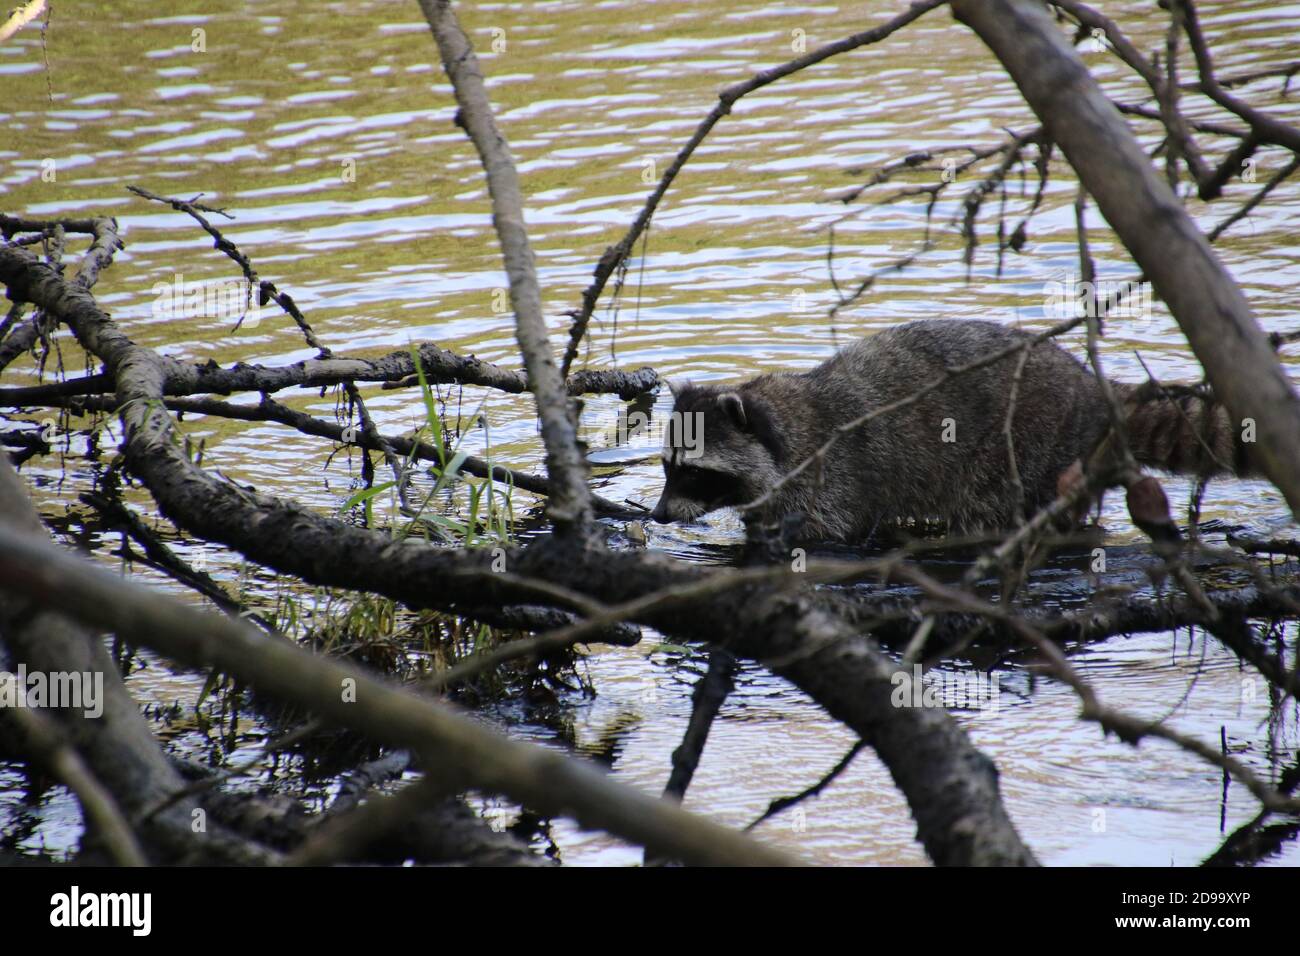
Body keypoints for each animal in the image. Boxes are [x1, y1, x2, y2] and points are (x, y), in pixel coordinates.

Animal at [649, 319, 1253, 542]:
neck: (783, 416)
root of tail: (1092, 390)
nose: (656, 515)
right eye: (666, 466)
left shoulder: (831, 474)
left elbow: (827, 531)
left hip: (1035, 448)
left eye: (695, 473)